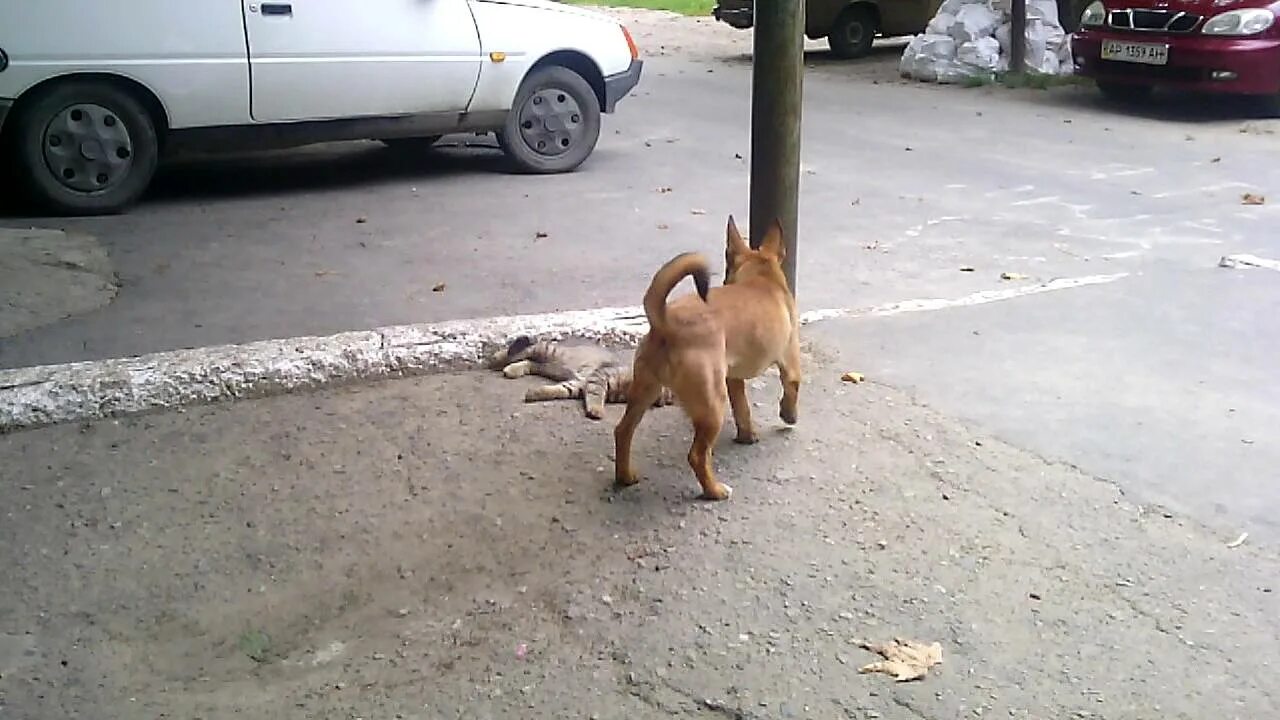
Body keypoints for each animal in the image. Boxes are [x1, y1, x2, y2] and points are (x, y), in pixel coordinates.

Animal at [483, 333, 675, 417]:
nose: (661, 402)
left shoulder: (578, 385)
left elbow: (558, 390)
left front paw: (535, 393)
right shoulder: (599, 377)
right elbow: (597, 396)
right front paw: (597, 409)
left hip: (547, 365)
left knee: (529, 360)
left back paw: (512, 369)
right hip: (551, 352)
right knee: (529, 346)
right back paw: (495, 359)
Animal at [611, 213, 798, 499]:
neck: (761, 278)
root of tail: (667, 323)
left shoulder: (733, 379)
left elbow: (742, 409)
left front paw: (747, 435)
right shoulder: (790, 364)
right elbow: (791, 390)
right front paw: (789, 416)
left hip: (646, 390)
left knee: (623, 431)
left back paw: (625, 476)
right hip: (712, 406)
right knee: (697, 456)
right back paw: (715, 490)